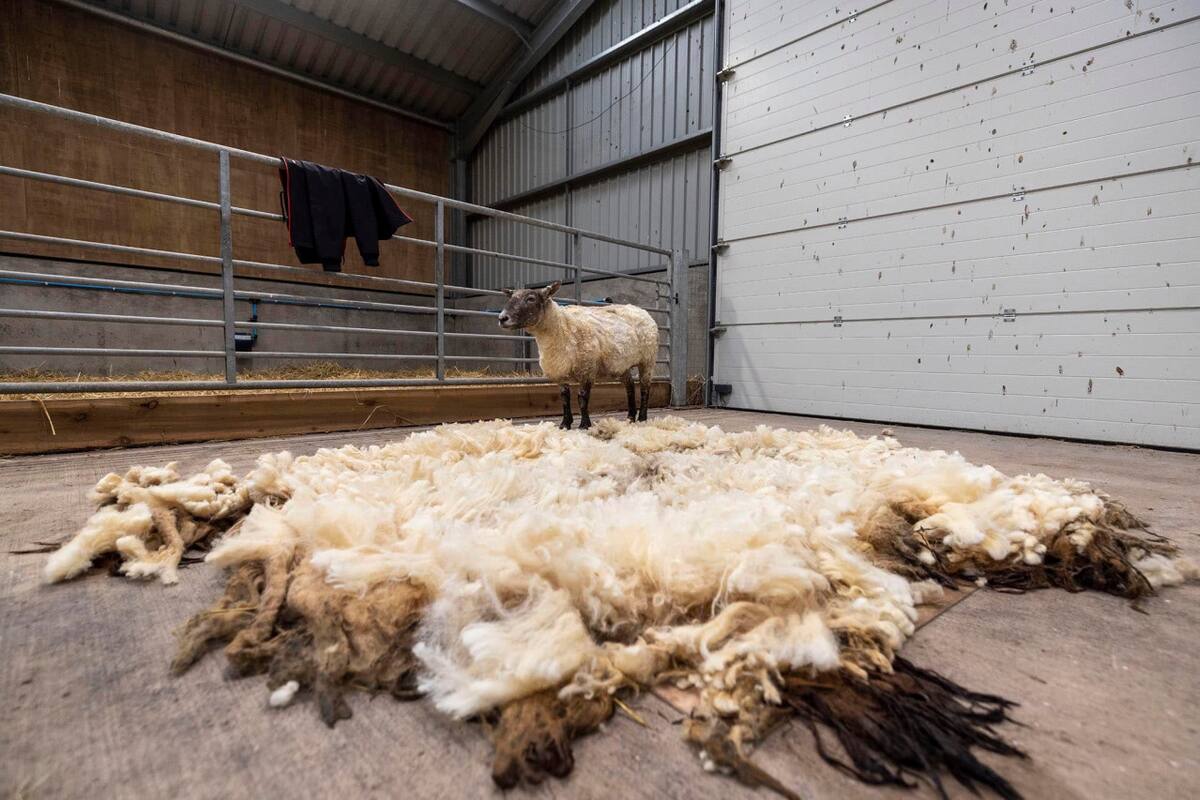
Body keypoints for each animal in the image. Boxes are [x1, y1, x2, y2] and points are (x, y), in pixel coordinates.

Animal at [498, 281, 658, 429]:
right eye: (511, 297)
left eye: (530, 298)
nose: (502, 318)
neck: (562, 328)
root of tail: (641, 310)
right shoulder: (560, 373)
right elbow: (564, 398)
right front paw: (565, 424)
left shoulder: (587, 370)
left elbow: (582, 398)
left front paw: (584, 424)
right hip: (622, 365)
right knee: (630, 386)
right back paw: (630, 417)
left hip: (648, 360)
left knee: (645, 388)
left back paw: (642, 417)